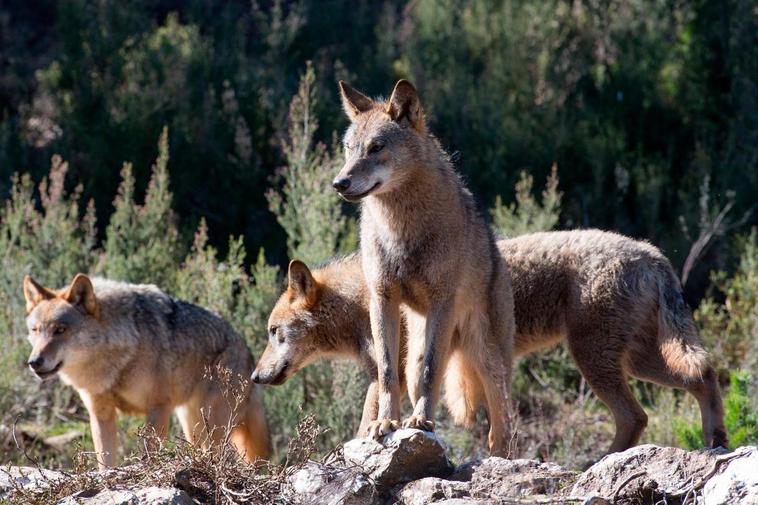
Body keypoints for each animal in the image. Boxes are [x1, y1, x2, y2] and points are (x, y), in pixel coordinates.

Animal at [23, 274, 272, 466]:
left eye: (60, 330)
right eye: (35, 330)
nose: (34, 362)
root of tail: (248, 352)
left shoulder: (159, 407)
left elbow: (150, 453)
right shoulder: (100, 413)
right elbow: (105, 461)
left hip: (212, 426)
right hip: (193, 426)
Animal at [254, 230, 732, 454]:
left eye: (274, 333)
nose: (255, 376)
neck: (360, 300)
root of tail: (653, 253)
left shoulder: (391, 377)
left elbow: (366, 425)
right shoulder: (388, 376)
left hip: (597, 361)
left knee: (637, 415)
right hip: (636, 362)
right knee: (704, 376)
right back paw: (716, 440)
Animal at [334, 79, 520, 456]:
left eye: (376, 147)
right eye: (348, 149)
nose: (339, 183)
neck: (401, 228)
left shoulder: (441, 301)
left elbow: (432, 373)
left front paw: (421, 422)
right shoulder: (382, 300)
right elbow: (387, 372)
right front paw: (385, 423)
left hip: (488, 361)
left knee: (501, 429)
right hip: (417, 350)